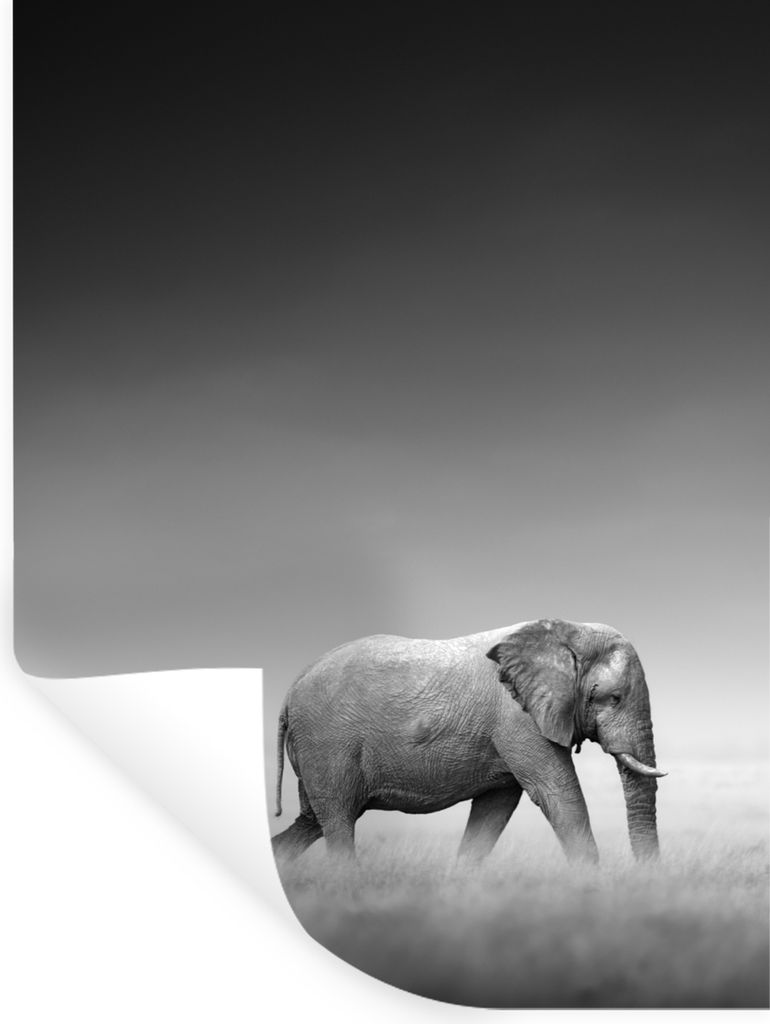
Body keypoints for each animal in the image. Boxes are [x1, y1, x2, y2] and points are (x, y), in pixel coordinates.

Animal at [271, 618, 665, 864]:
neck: (568, 631)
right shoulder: (517, 720)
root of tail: (289, 692)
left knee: (311, 820)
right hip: (327, 744)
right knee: (337, 820)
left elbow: (494, 810)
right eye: (613, 698)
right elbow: (557, 794)